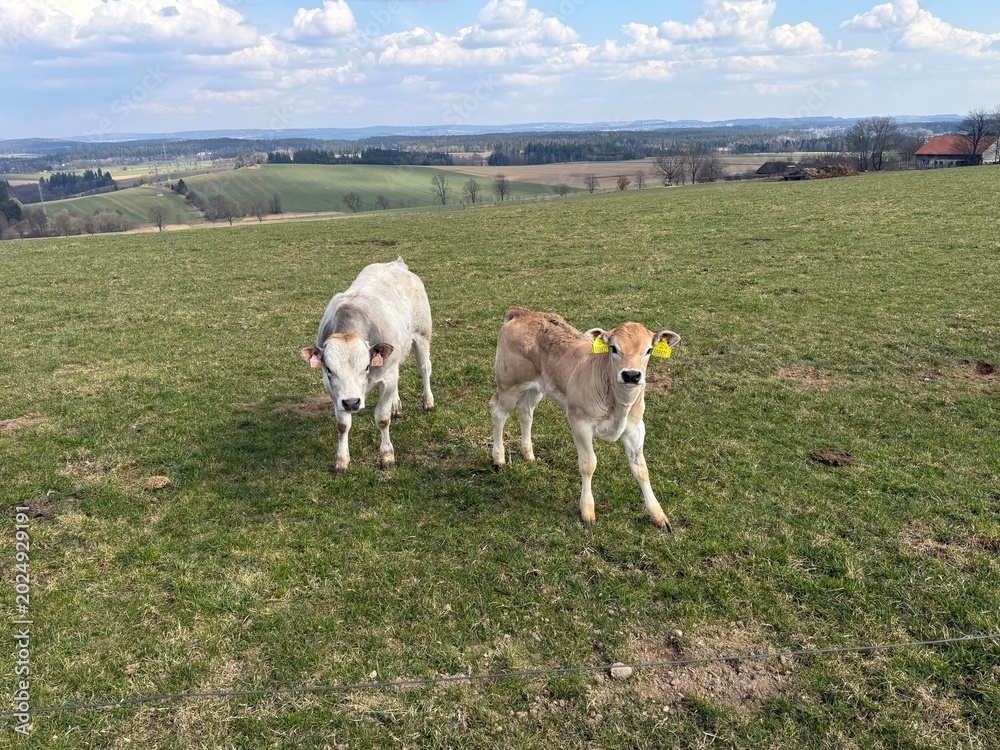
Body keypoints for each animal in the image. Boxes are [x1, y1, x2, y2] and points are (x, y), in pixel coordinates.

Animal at [300, 258, 434, 471]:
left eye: (365, 367)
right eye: (329, 369)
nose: (352, 403)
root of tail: (396, 264)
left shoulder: (387, 377)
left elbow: (382, 418)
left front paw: (387, 455)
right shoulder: (333, 389)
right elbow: (343, 424)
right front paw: (342, 460)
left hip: (422, 336)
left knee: (424, 368)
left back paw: (428, 401)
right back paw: (396, 405)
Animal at [490, 307, 680, 529]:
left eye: (649, 350)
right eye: (613, 348)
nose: (631, 375)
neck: (618, 404)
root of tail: (525, 312)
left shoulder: (636, 428)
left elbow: (641, 469)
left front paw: (658, 514)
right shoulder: (580, 422)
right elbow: (589, 464)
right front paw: (588, 511)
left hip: (537, 387)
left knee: (526, 412)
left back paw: (528, 453)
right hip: (509, 383)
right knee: (498, 412)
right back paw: (499, 458)